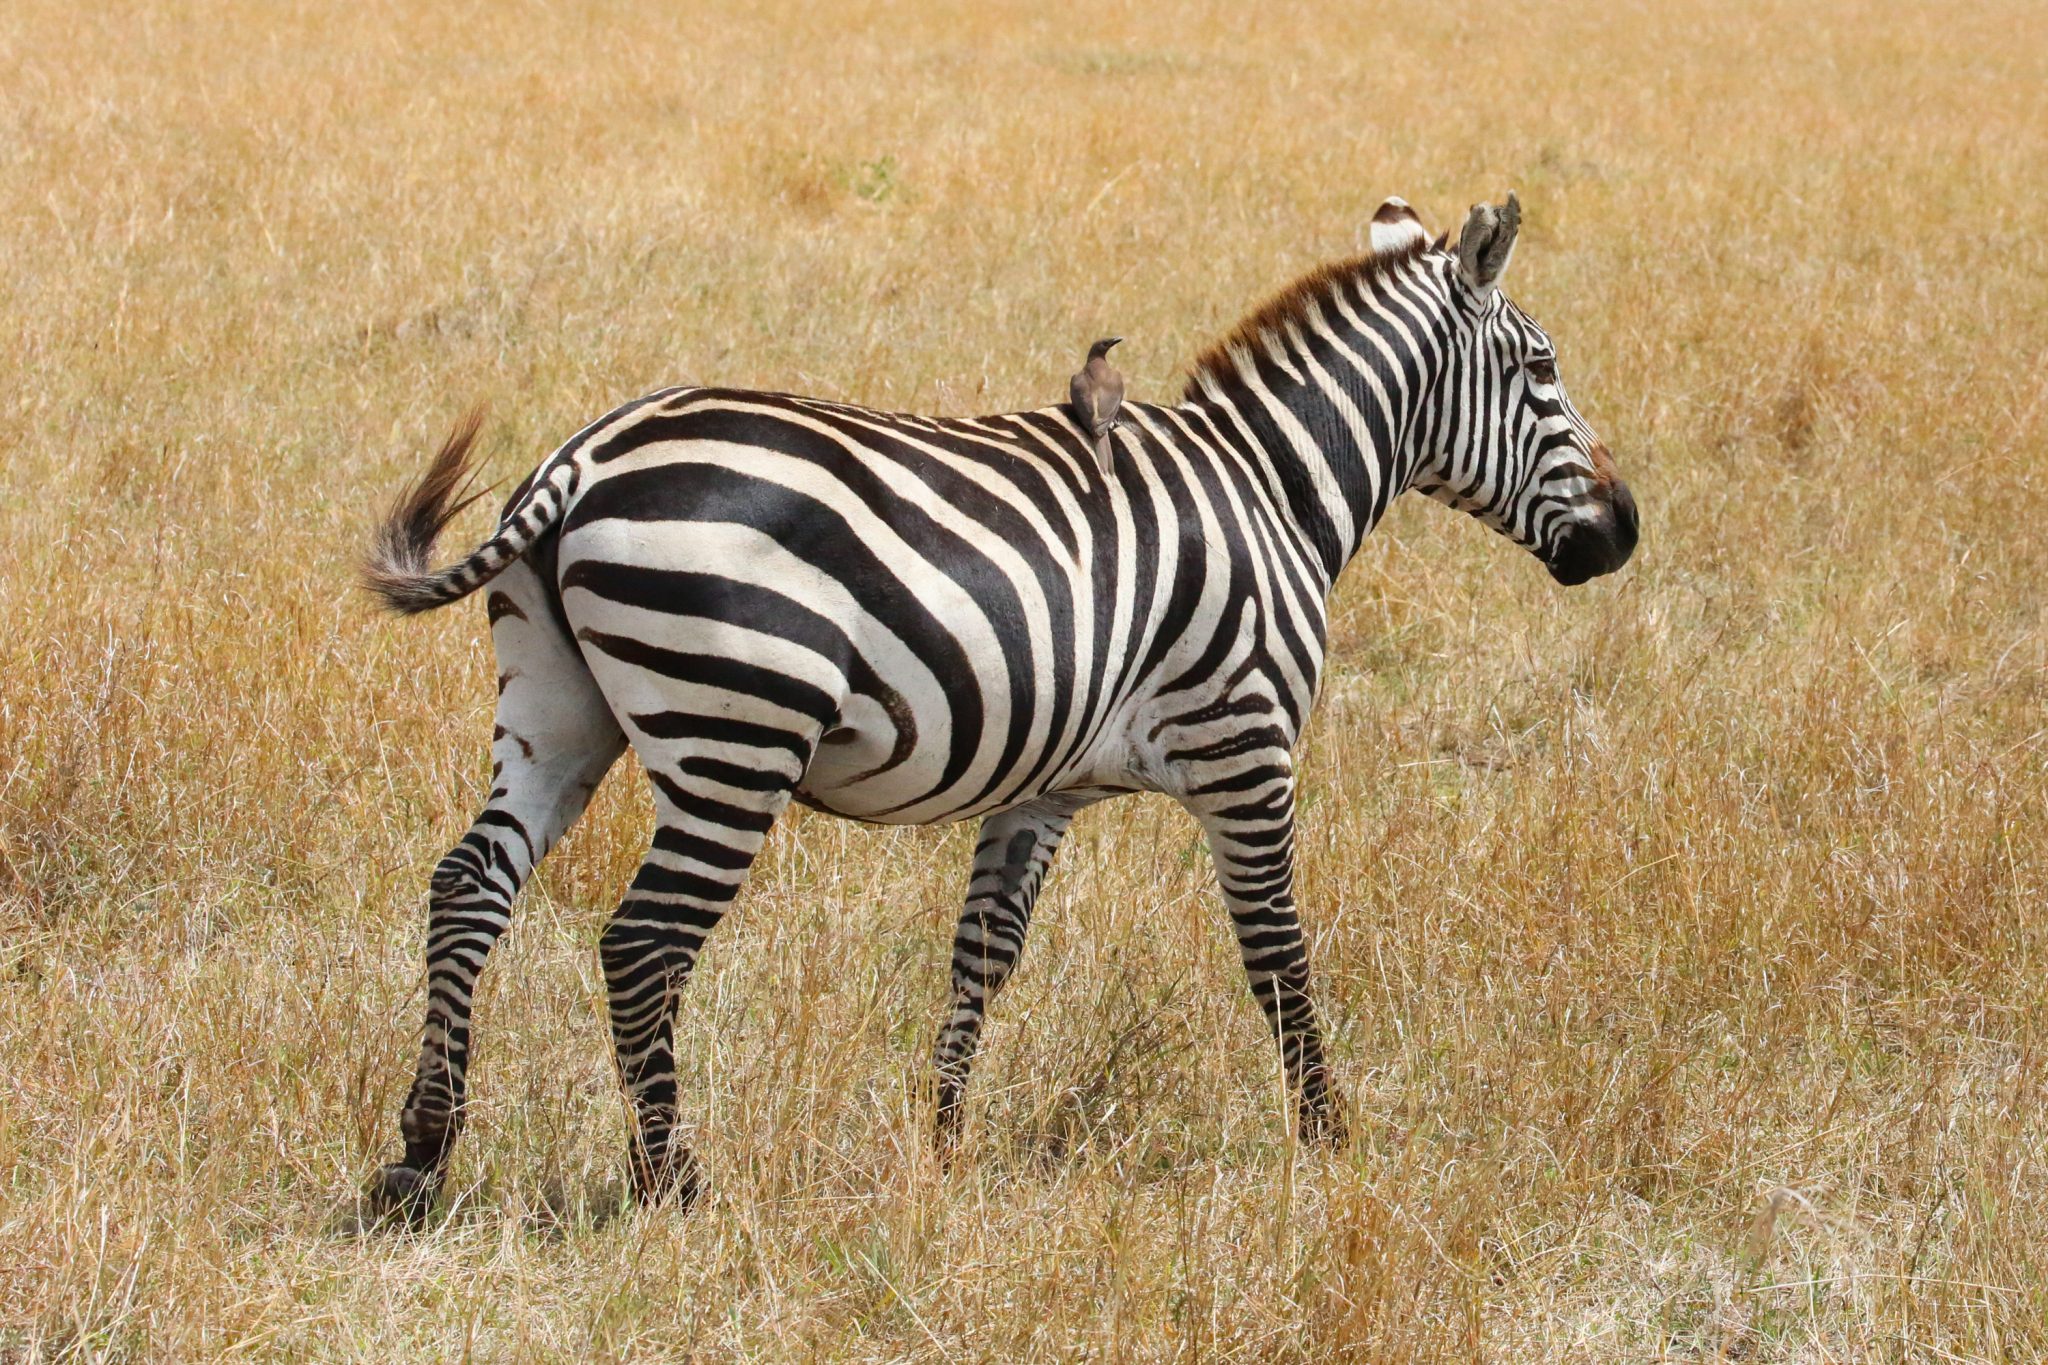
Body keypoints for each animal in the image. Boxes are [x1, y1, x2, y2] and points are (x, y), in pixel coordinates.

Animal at [358, 192, 1637, 1223]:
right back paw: (670, 1179)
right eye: (1540, 371)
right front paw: (1328, 1138)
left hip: (557, 710)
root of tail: (581, 458)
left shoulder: (1044, 787)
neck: (1271, 489)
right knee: (642, 943)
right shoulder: (1245, 747)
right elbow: (1275, 949)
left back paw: (420, 1157)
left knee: (468, 886)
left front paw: (941, 1143)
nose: (1622, 533)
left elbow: (981, 955)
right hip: (736, 731)